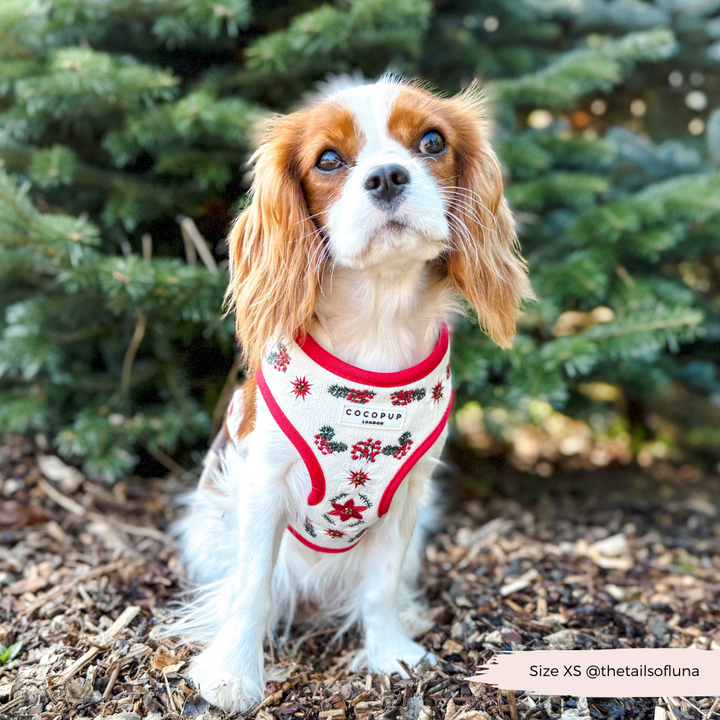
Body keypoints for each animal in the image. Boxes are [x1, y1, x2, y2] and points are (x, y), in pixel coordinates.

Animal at [167, 74, 528, 716]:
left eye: (432, 142)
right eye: (329, 160)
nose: (387, 176)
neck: (376, 328)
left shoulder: (407, 493)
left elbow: (380, 584)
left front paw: (391, 655)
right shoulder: (262, 482)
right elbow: (252, 586)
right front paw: (233, 674)